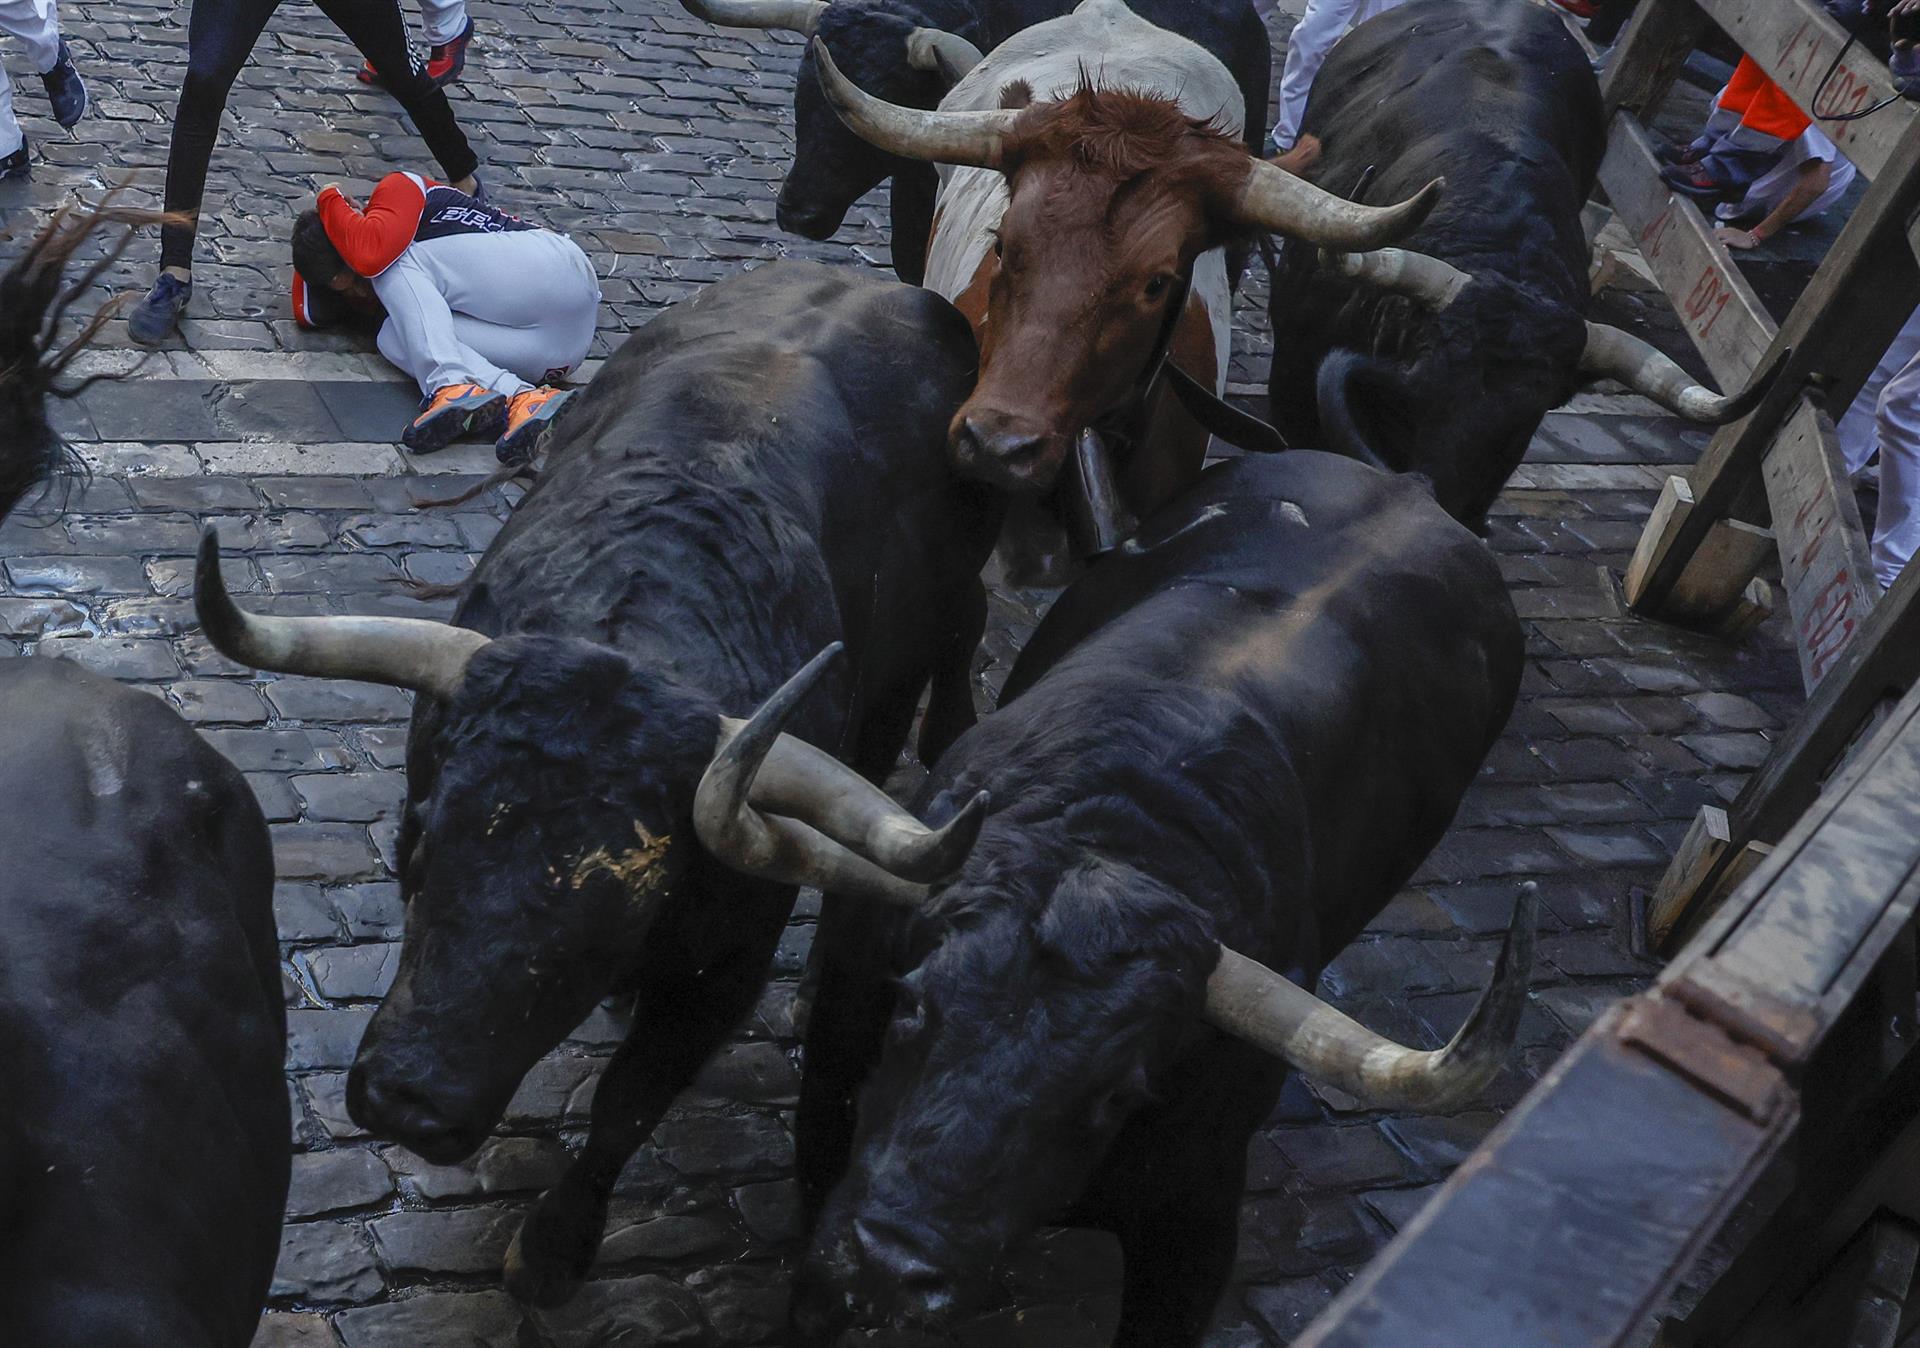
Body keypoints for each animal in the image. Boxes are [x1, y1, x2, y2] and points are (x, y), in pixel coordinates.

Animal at [196, 261, 1006, 1305]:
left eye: (624, 912)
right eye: (422, 841)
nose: (408, 1100)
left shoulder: (727, 966)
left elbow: (629, 1100)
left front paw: (553, 1250)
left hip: (916, 656)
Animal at [787, 457, 1520, 1348]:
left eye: (1116, 1091)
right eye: (913, 1009)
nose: (889, 1267)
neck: (1120, 819)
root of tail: (1411, 483)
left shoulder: (1196, 1220)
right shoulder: (830, 1091)